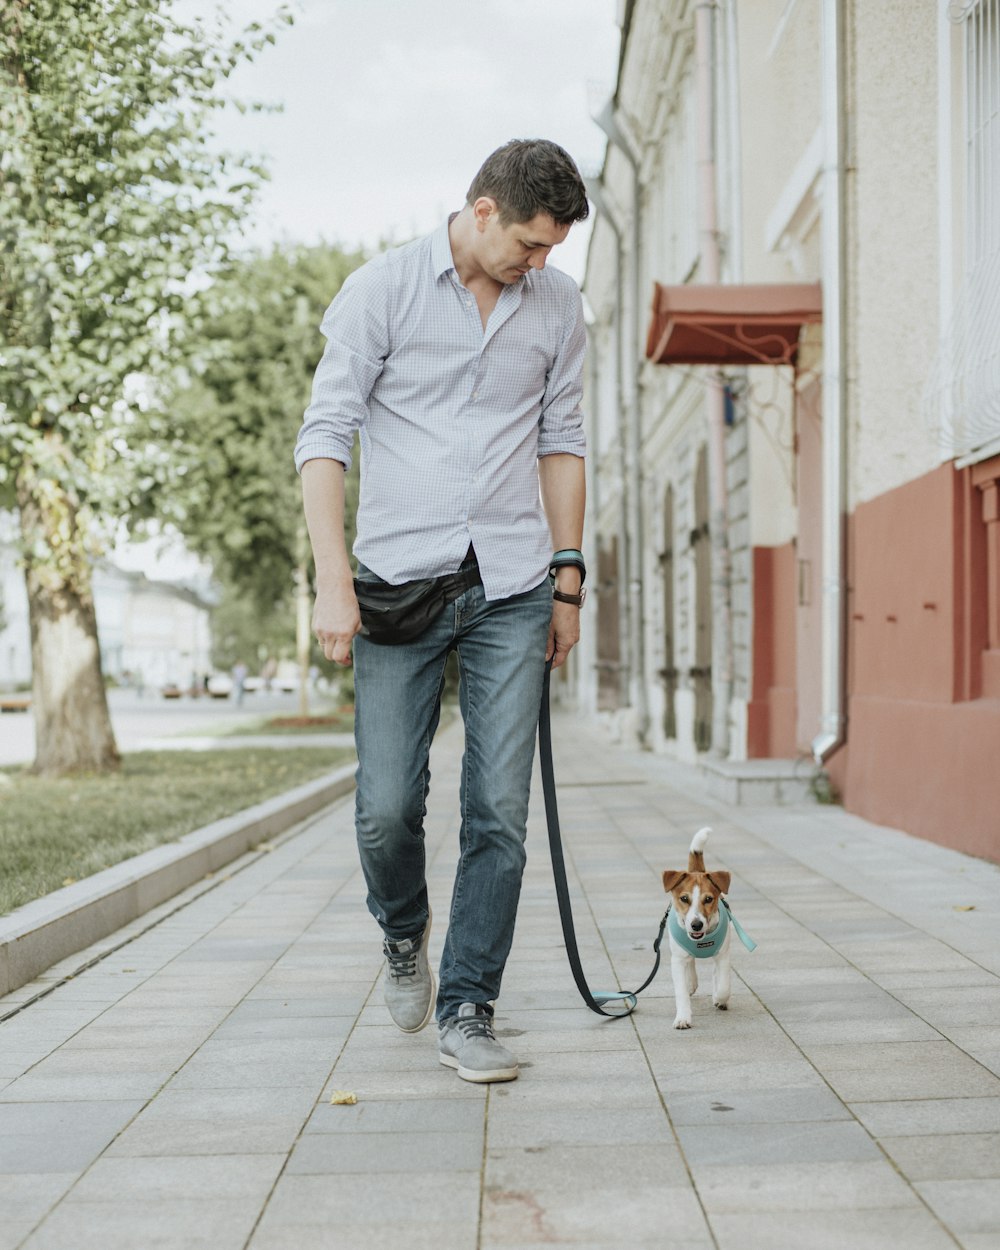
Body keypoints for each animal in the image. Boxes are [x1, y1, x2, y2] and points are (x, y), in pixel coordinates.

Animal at [660, 830, 745, 1025]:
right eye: (684, 899)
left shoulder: (723, 955)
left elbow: (723, 985)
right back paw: (691, 983)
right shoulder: (677, 959)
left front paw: (719, 998)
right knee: (690, 962)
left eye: (708, 899)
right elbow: (681, 991)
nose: (696, 924)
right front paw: (683, 1018)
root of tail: (696, 871)